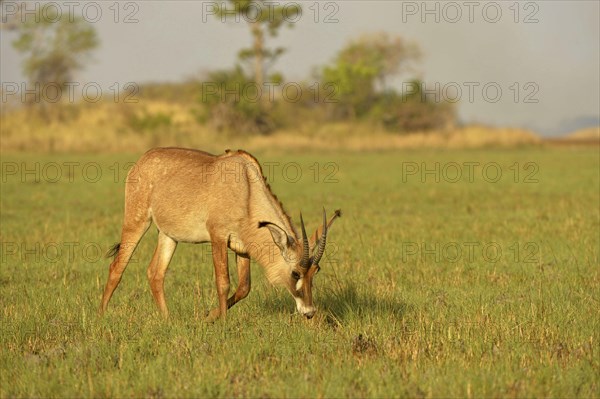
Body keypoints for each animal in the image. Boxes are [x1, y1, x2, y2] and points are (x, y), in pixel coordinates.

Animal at [101, 148, 340, 320]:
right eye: (295, 273)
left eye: (315, 271)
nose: (309, 312)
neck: (246, 190)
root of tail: (141, 161)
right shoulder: (218, 237)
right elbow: (223, 282)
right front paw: (223, 323)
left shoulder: (242, 249)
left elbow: (244, 287)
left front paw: (209, 316)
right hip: (137, 221)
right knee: (117, 267)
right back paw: (102, 316)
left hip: (168, 236)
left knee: (155, 273)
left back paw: (167, 320)